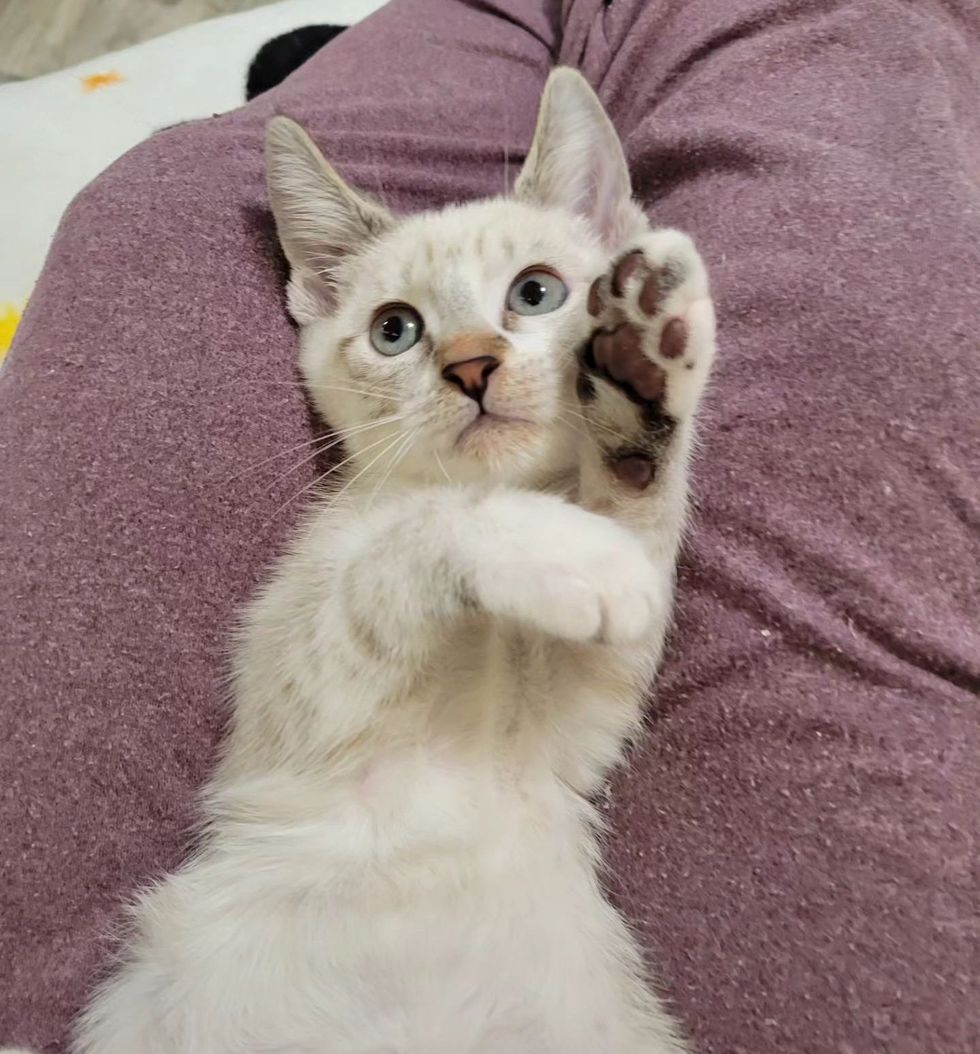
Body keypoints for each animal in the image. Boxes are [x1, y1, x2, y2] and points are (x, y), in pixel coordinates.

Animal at [59, 67, 712, 1054]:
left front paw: (640, 374)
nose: (472, 365)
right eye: (395, 330)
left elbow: (637, 519)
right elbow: (423, 531)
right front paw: (550, 543)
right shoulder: (305, 677)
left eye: (535, 294)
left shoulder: (562, 734)